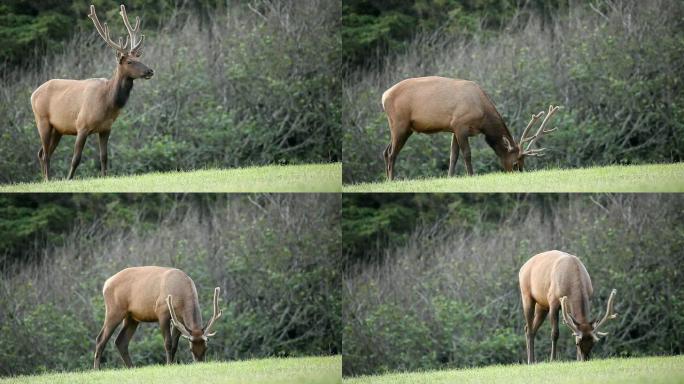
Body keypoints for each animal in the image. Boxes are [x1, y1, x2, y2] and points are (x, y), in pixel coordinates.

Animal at [31, 4, 154, 182]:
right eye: (130, 61)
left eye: (139, 58)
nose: (150, 70)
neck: (108, 102)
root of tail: (33, 94)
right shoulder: (81, 125)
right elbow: (76, 158)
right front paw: (69, 179)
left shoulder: (106, 128)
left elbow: (104, 156)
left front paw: (104, 177)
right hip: (42, 120)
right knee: (45, 153)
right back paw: (48, 179)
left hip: (58, 129)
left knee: (41, 152)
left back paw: (46, 179)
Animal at [93, 268, 222, 368]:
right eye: (190, 349)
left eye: (206, 348)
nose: (200, 363)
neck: (181, 296)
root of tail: (106, 284)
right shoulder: (162, 311)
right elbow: (168, 343)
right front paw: (168, 364)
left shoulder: (178, 320)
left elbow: (175, 345)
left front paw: (173, 363)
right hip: (114, 310)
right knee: (100, 339)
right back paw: (97, 369)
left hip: (131, 317)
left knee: (121, 341)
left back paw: (131, 367)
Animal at [382, 77, 560, 182]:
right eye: (516, 163)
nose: (519, 175)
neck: (483, 116)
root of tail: (384, 96)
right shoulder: (460, 124)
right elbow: (467, 153)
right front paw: (471, 175)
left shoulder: (453, 128)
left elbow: (453, 155)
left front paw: (450, 177)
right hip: (400, 123)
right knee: (392, 153)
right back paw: (392, 179)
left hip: (403, 127)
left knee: (385, 151)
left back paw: (387, 179)